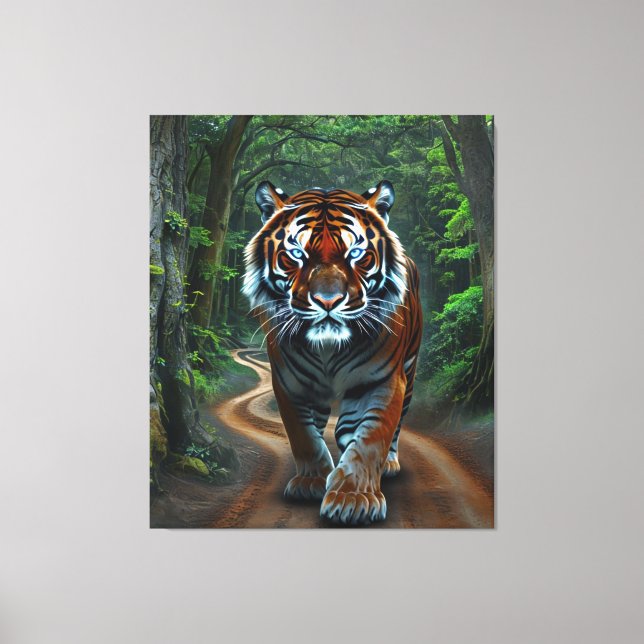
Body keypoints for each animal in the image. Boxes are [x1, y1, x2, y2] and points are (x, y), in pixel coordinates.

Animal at [242, 180, 422, 525]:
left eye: (356, 254)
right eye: (296, 254)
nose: (328, 301)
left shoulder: (383, 381)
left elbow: (372, 437)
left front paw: (353, 499)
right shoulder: (290, 384)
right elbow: (303, 436)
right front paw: (311, 481)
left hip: (410, 368)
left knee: (390, 429)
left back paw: (388, 464)